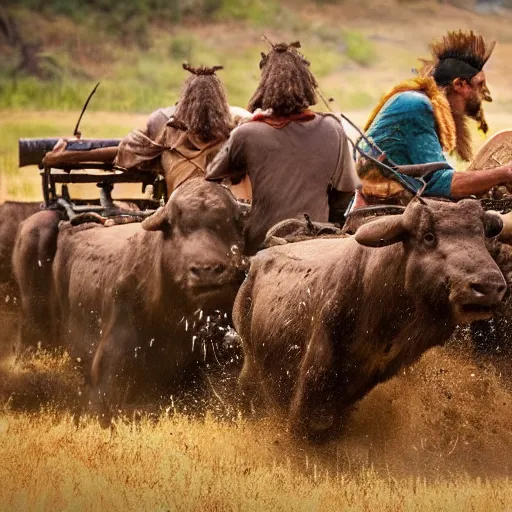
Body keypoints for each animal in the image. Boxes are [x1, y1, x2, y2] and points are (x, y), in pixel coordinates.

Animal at [236, 199, 508, 440]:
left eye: (482, 238)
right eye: (428, 236)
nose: (489, 286)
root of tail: (257, 260)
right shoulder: (316, 369)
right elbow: (308, 420)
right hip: (250, 362)